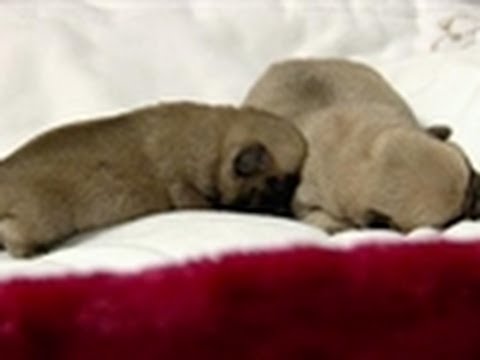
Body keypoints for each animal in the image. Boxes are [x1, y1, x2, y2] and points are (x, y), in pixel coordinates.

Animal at [244, 58, 480, 233]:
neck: (357, 146)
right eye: (451, 222)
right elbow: (315, 214)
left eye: (471, 171)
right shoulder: (305, 199)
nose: (477, 201)